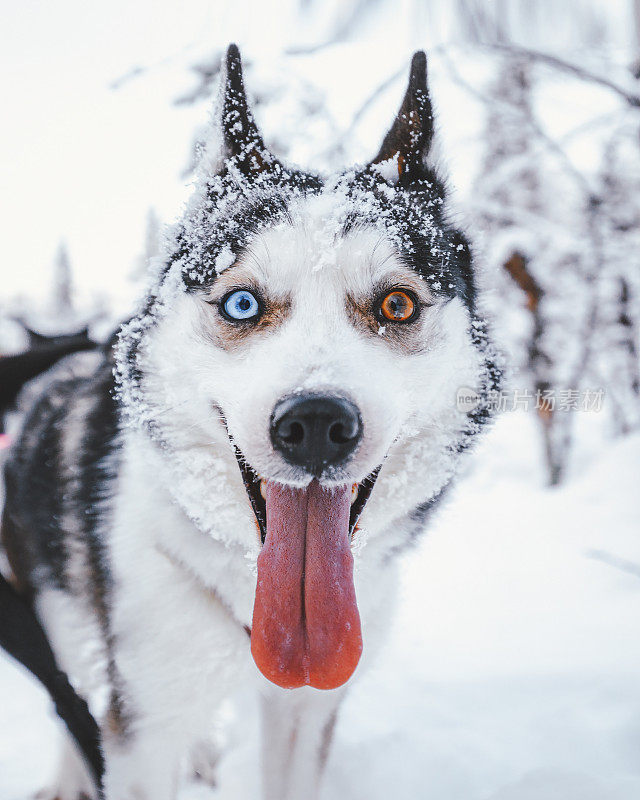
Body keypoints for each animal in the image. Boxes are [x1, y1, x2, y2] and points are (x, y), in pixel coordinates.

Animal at [0, 47, 500, 800]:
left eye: (398, 305)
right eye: (241, 303)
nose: (316, 423)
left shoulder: (308, 705)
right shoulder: (146, 722)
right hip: (54, 608)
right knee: (71, 694)